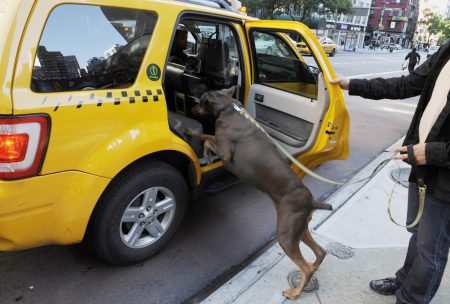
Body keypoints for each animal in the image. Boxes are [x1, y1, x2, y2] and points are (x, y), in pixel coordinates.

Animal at [185, 86, 330, 300]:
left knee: (305, 268)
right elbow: (207, 138)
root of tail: (311, 201)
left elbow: (207, 140)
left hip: (286, 234)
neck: (228, 109)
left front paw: (205, 152)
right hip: (300, 228)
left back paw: (295, 292)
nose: (192, 108)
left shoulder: (225, 152)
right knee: (320, 252)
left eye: (201, 100)